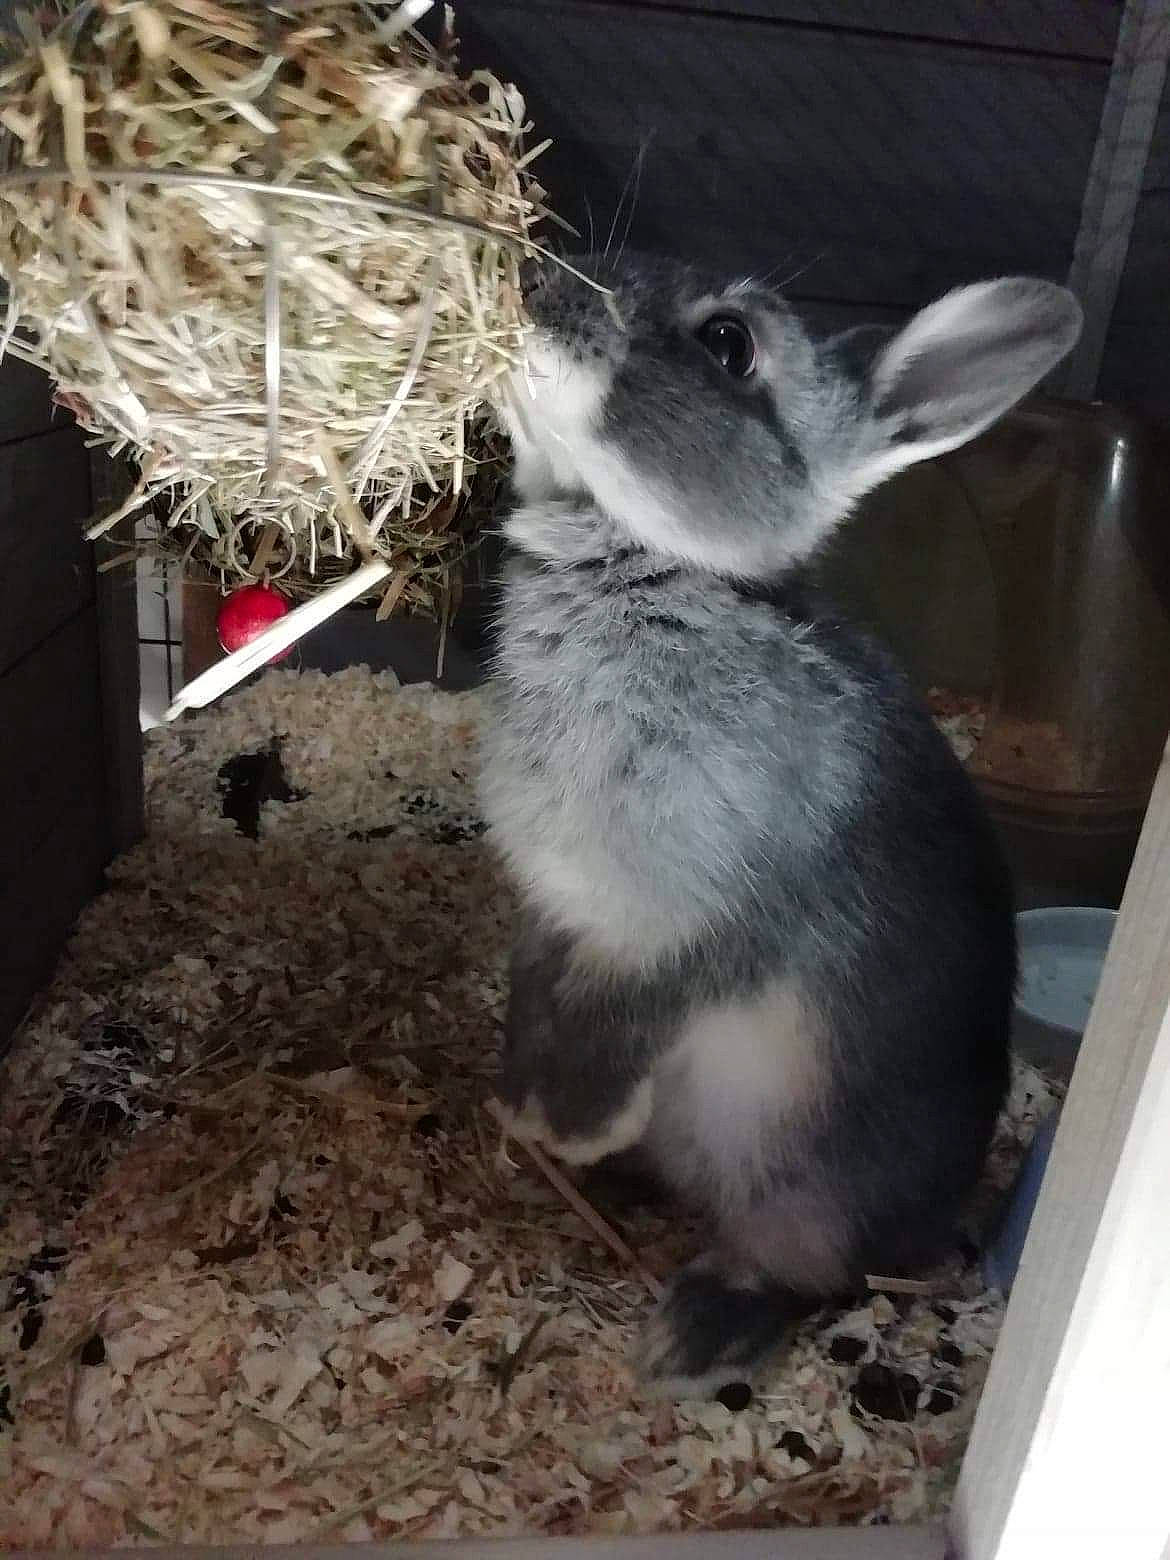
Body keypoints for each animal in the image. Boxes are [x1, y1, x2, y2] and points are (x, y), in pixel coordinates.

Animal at [480, 252, 1082, 1399]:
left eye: (729, 344)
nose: (532, 282)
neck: (653, 573)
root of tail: (930, 1230)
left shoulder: (707, 919)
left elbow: (633, 1011)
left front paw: (563, 1124)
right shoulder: (551, 907)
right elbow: (538, 985)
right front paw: (521, 1094)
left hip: (805, 1189)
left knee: (809, 1278)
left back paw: (691, 1337)